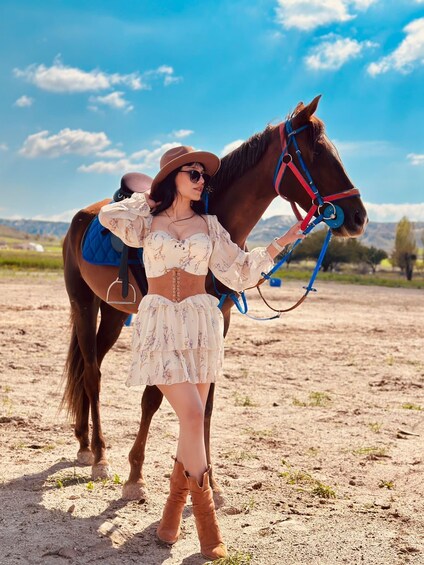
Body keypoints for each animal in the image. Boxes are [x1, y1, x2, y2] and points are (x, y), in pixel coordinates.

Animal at [61, 97, 366, 498]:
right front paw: (135, 476)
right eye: (316, 153)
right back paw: (98, 455)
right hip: (82, 303)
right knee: (92, 372)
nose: (360, 217)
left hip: (112, 313)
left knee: (87, 365)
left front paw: (212, 484)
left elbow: (205, 404)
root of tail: (82, 216)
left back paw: (83, 442)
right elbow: (153, 398)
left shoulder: (219, 323)